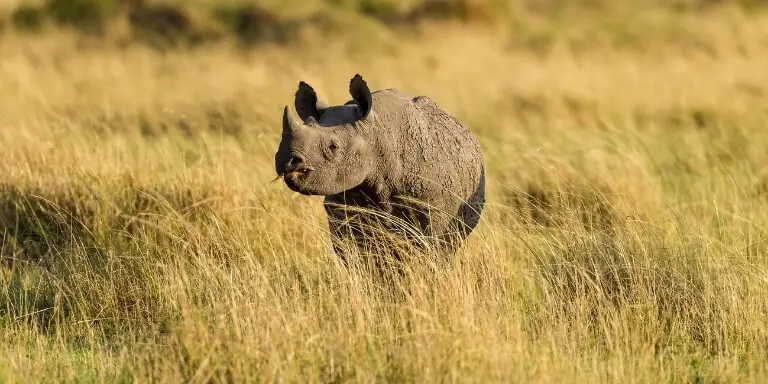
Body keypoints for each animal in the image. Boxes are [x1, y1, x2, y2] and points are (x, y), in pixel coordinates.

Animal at [272, 73, 484, 262]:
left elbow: (430, 252)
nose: (286, 161)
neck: (374, 135)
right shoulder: (341, 211)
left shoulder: (435, 210)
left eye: (333, 147)